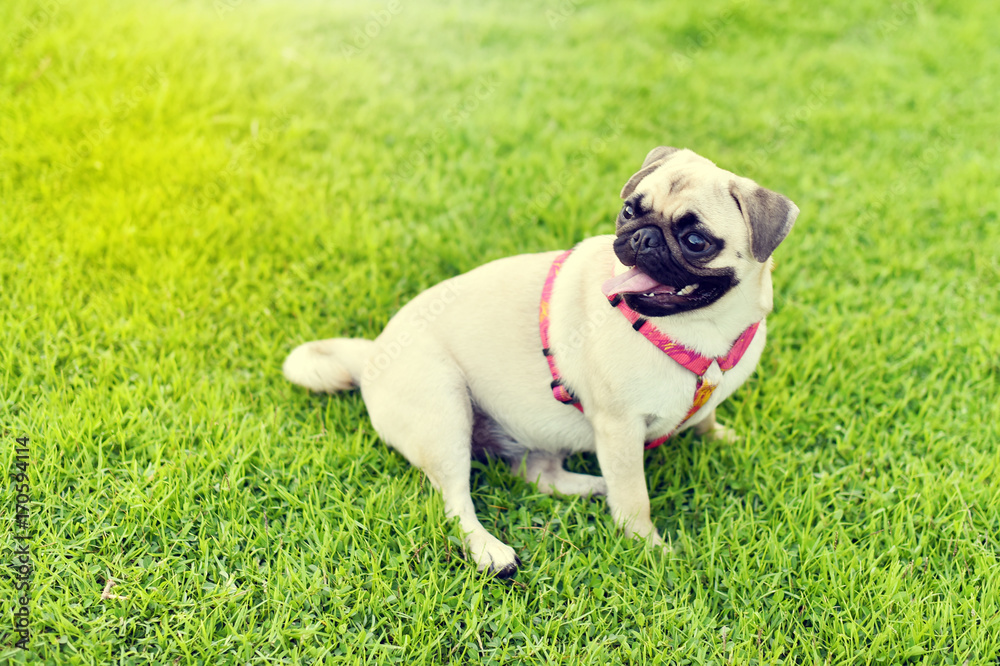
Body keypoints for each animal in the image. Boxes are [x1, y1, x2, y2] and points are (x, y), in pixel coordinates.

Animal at [286, 147, 800, 576]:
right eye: (630, 211)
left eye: (695, 241)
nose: (642, 237)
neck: (701, 332)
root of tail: (374, 352)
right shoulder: (618, 426)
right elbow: (635, 498)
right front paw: (648, 545)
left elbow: (706, 416)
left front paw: (719, 436)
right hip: (444, 410)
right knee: (456, 502)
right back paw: (492, 552)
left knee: (537, 475)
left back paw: (594, 487)